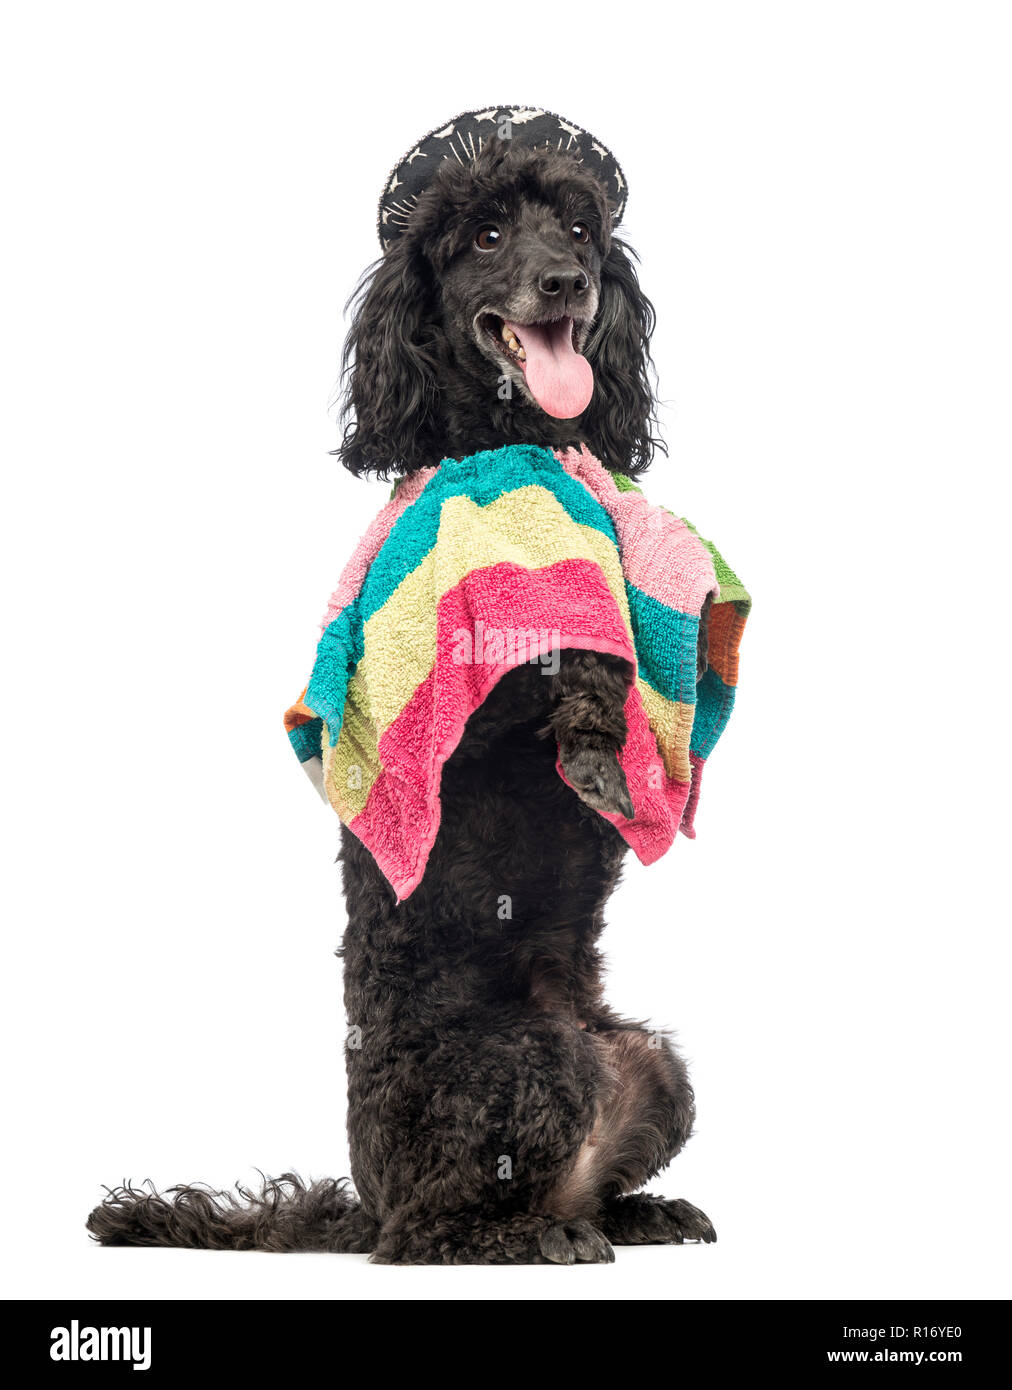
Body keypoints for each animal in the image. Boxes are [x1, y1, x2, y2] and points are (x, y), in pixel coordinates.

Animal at [88, 116, 717, 1262]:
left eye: (577, 227)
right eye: (484, 235)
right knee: (434, 1228)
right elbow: (583, 641)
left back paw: (639, 1212)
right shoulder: (473, 687)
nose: (568, 283)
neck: (513, 446)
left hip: (654, 1069)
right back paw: (531, 1237)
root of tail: (365, 1195)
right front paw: (599, 747)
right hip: (515, 1066)